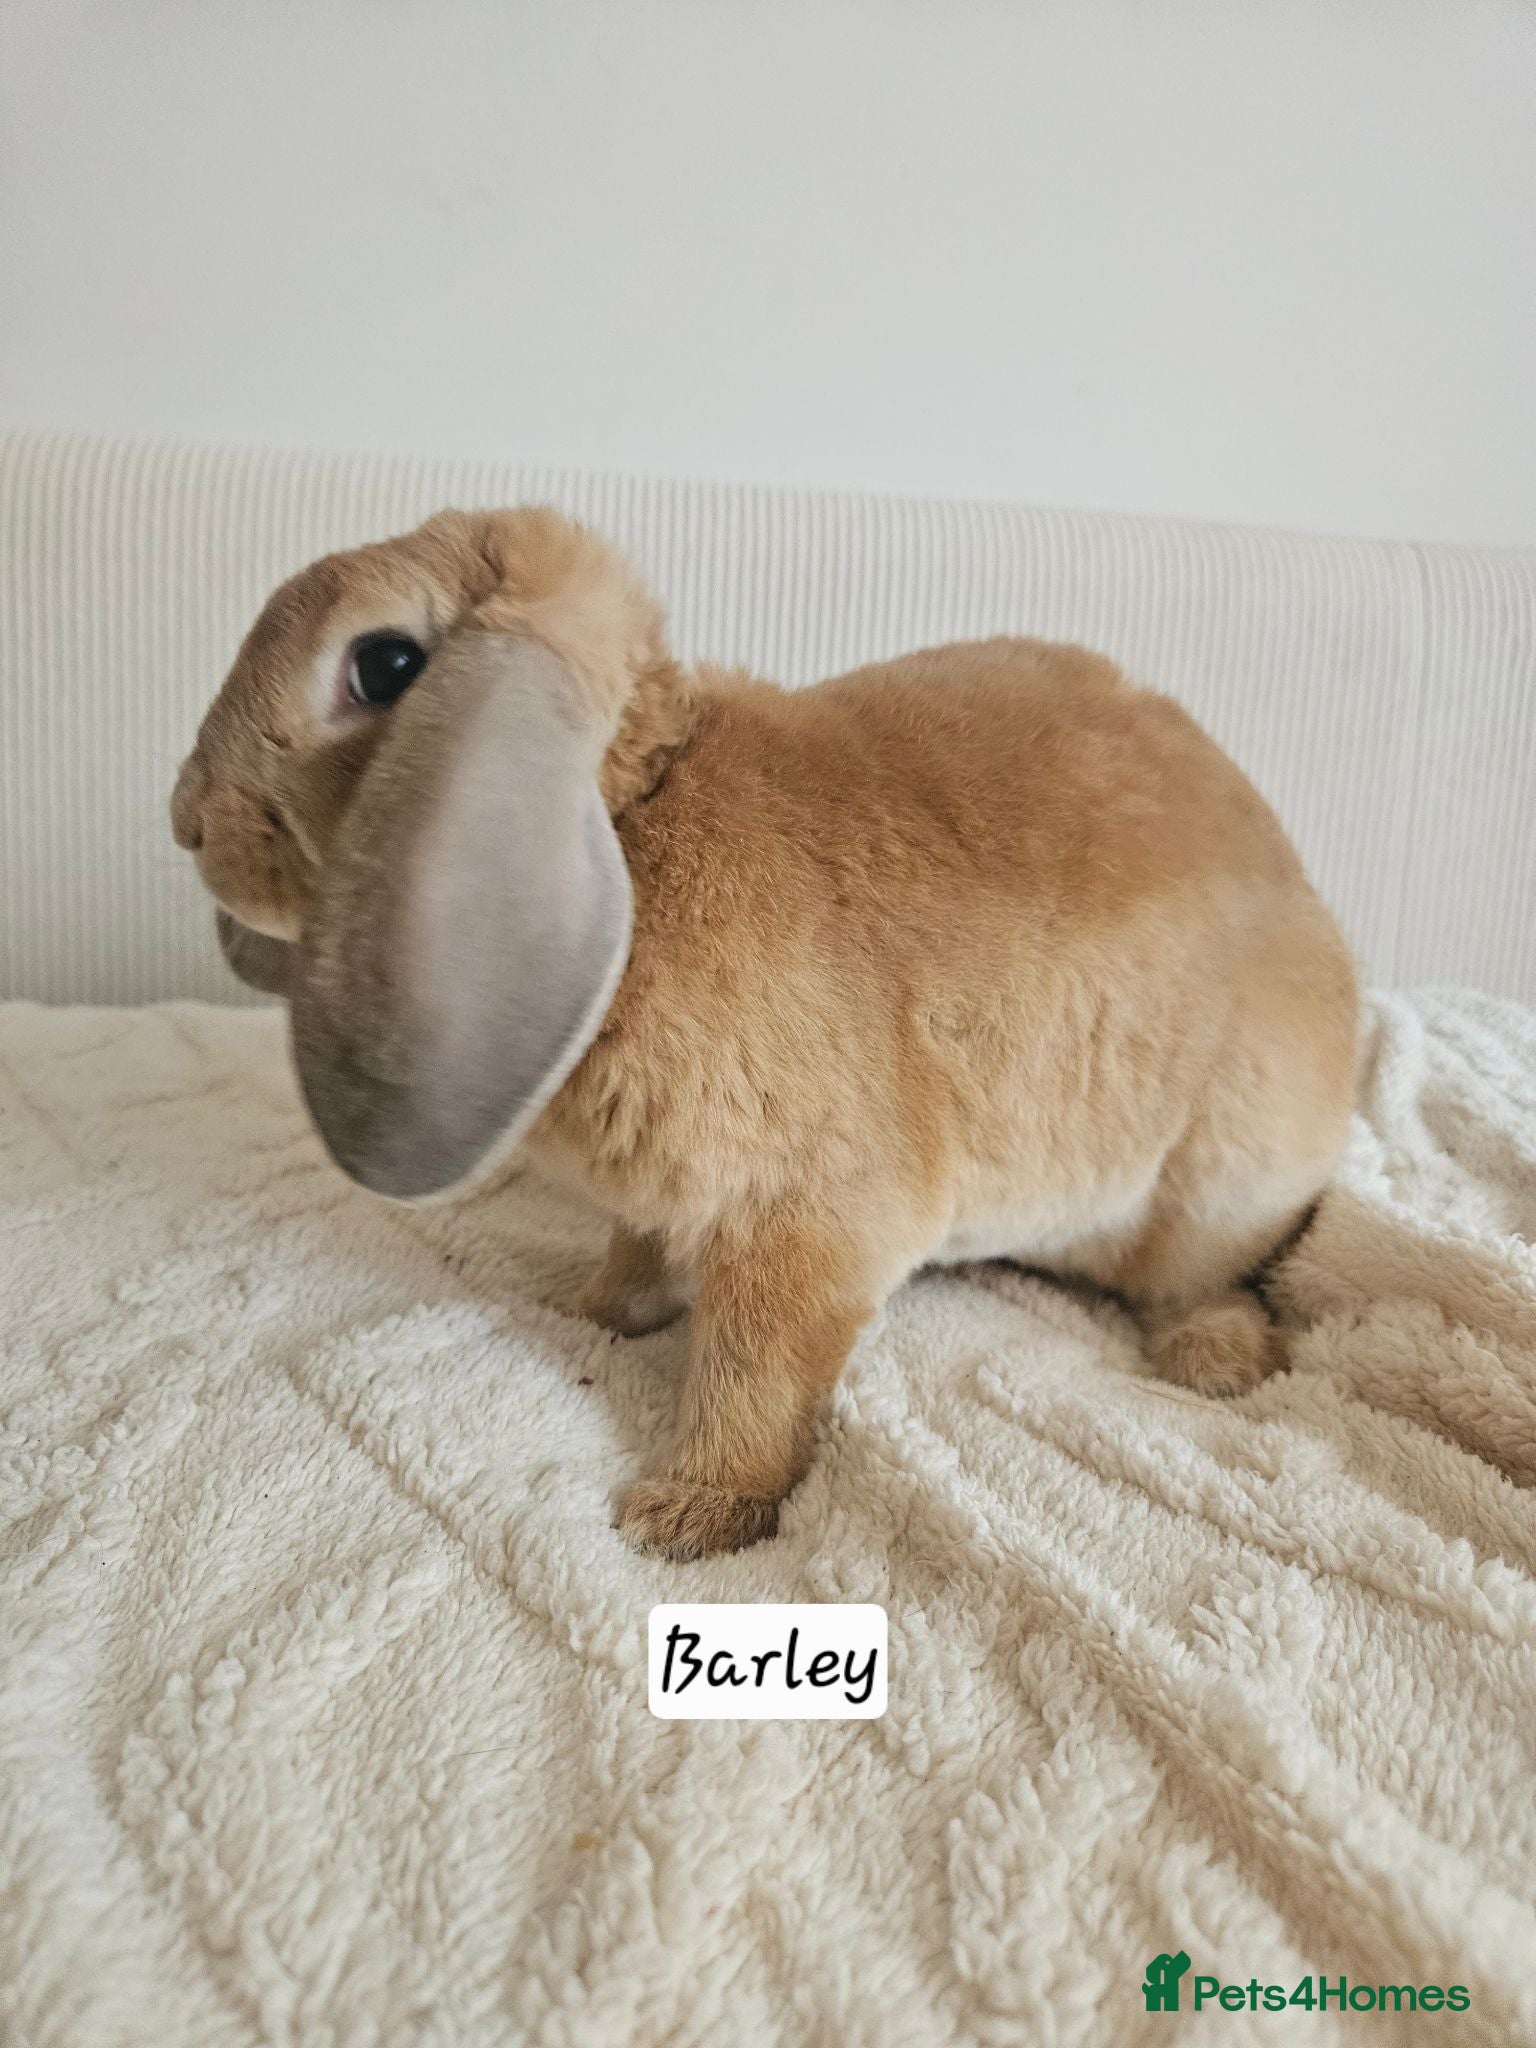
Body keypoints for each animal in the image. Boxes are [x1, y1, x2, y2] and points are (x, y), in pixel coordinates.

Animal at [171, 506, 1359, 1560]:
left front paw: (687, 1515)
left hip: (1223, 1175)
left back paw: (1213, 1360)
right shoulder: (665, 1197)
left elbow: (754, 1373)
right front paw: (589, 1309)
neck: (631, 825)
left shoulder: (808, 1221)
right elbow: (638, 1254)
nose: (187, 821)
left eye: (384, 664)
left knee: (1212, 1276)